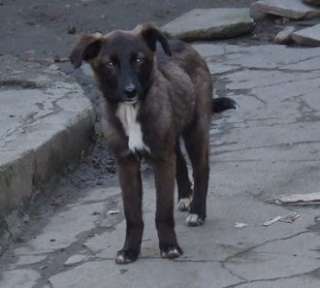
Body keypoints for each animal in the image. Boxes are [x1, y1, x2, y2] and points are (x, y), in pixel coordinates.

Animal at [70, 23, 235, 264]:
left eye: (139, 59)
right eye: (110, 64)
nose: (130, 91)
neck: (131, 111)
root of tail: (182, 43)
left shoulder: (161, 159)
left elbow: (162, 212)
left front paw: (169, 246)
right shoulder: (126, 163)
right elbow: (132, 215)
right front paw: (129, 250)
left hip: (195, 129)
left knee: (201, 168)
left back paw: (197, 211)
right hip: (172, 135)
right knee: (181, 162)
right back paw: (185, 196)